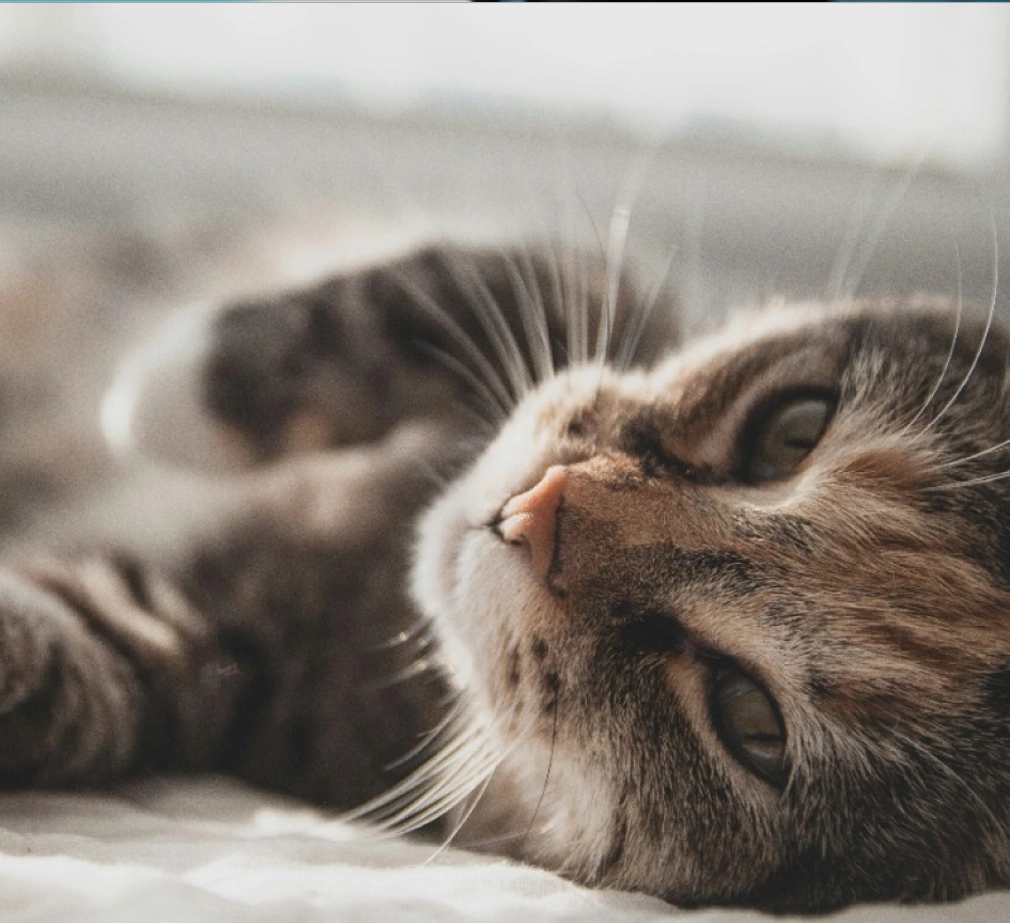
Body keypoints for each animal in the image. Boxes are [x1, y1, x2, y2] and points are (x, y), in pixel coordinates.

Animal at [0, 234, 1010, 908]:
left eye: (751, 719)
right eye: (794, 429)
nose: (538, 510)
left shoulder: (213, 654)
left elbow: (69, 679)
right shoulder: (607, 294)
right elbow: (433, 289)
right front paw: (160, 384)